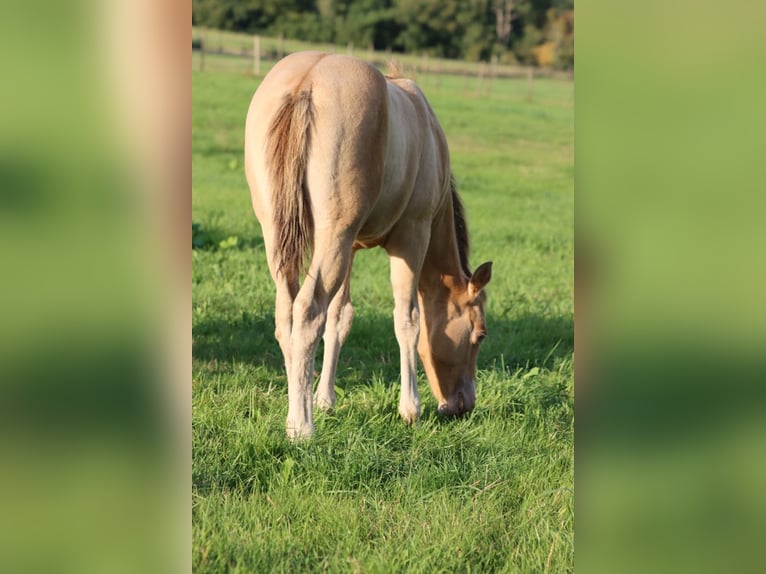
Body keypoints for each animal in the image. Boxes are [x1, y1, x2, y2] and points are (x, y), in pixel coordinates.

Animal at [245, 52, 492, 439]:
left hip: (286, 237)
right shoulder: (411, 237)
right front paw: (410, 409)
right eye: (480, 335)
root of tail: (306, 83)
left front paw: (325, 399)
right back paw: (301, 427)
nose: (461, 406)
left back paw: (296, 407)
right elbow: (408, 320)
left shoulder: (349, 247)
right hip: (335, 236)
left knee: (288, 314)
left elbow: (340, 318)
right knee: (308, 311)